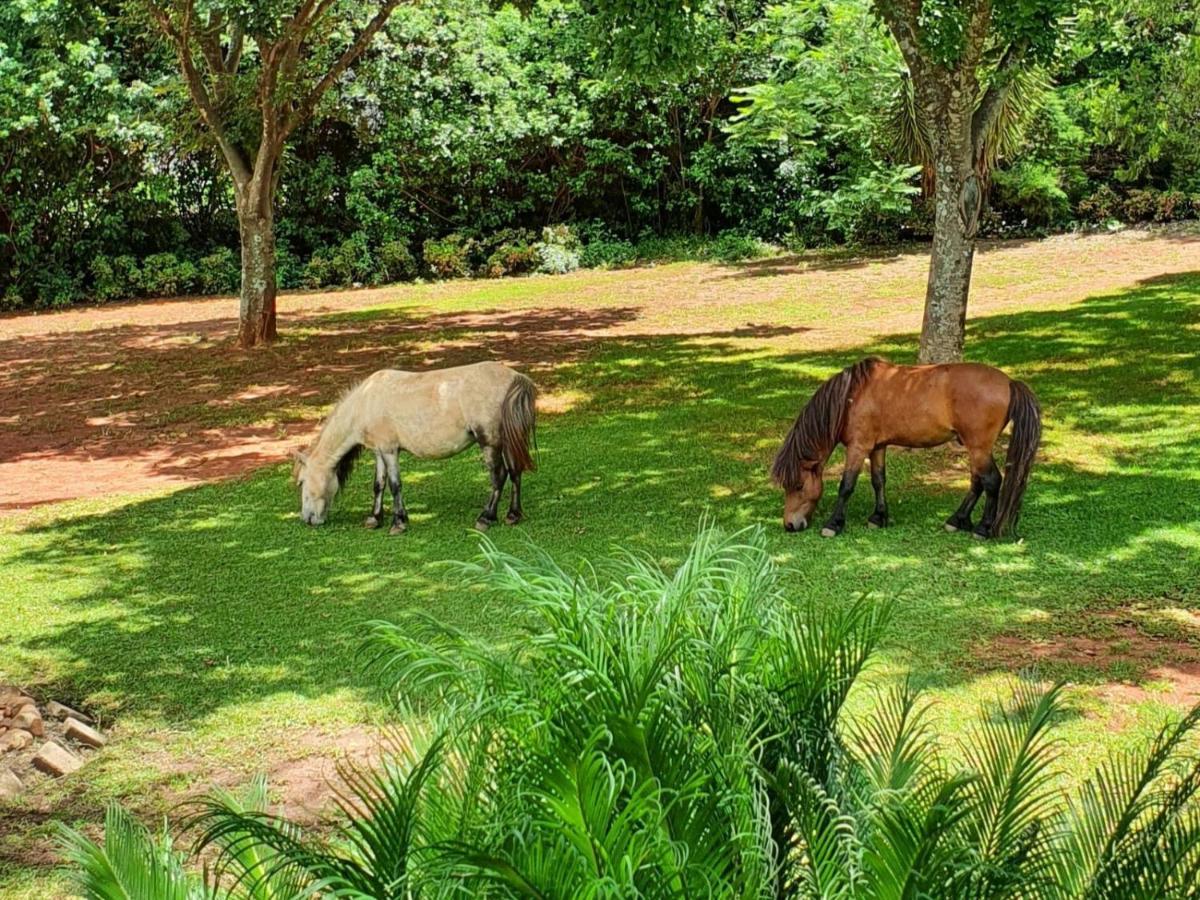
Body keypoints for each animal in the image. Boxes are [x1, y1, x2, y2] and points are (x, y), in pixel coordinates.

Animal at [292, 362, 537, 535]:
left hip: (489, 442)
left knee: (499, 476)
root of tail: (514, 377)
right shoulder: (379, 451)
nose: (307, 519)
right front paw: (374, 519)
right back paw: (513, 515)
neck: (366, 401)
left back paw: (486, 517)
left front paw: (398, 523)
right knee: (515, 472)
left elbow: (394, 485)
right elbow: (378, 485)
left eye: (302, 482)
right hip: (506, 441)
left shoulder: (390, 451)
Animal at [768, 357, 1041, 542]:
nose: (790, 525)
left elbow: (846, 486)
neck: (852, 396)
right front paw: (878, 517)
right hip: (975, 449)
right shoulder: (877, 447)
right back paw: (957, 520)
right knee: (977, 482)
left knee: (992, 481)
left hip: (979, 448)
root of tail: (1009, 382)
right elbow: (878, 480)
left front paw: (833, 524)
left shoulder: (858, 448)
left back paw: (982, 528)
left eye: (799, 486)